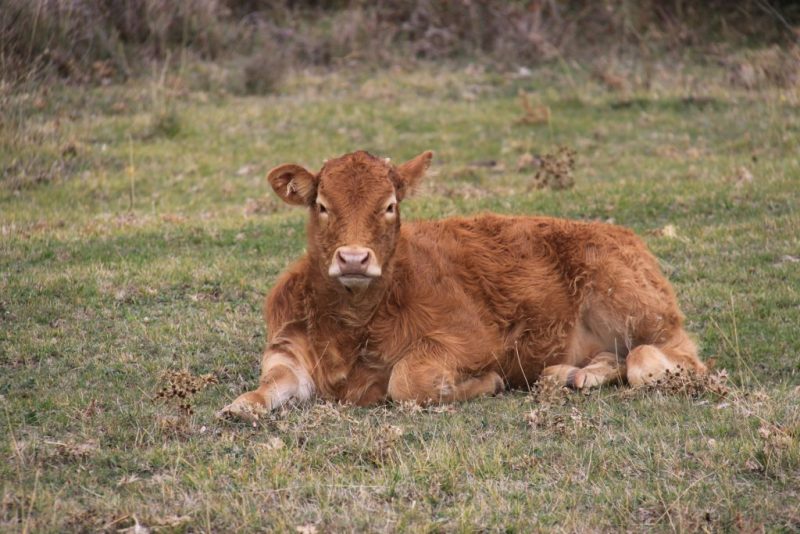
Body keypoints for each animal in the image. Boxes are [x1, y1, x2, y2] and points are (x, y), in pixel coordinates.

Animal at [219, 152, 708, 422]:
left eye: (390, 206)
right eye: (321, 205)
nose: (354, 258)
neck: (351, 329)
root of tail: (623, 235)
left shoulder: (471, 340)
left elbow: (406, 381)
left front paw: (485, 383)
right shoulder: (286, 349)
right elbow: (271, 384)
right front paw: (241, 405)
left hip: (637, 308)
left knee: (662, 357)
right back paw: (571, 374)